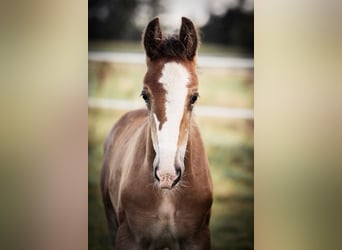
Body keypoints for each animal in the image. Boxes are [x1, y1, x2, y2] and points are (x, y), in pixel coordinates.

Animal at [101, 16, 214, 249]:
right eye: (145, 95)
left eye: (194, 97)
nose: (166, 174)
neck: (167, 196)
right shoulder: (128, 238)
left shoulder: (198, 238)